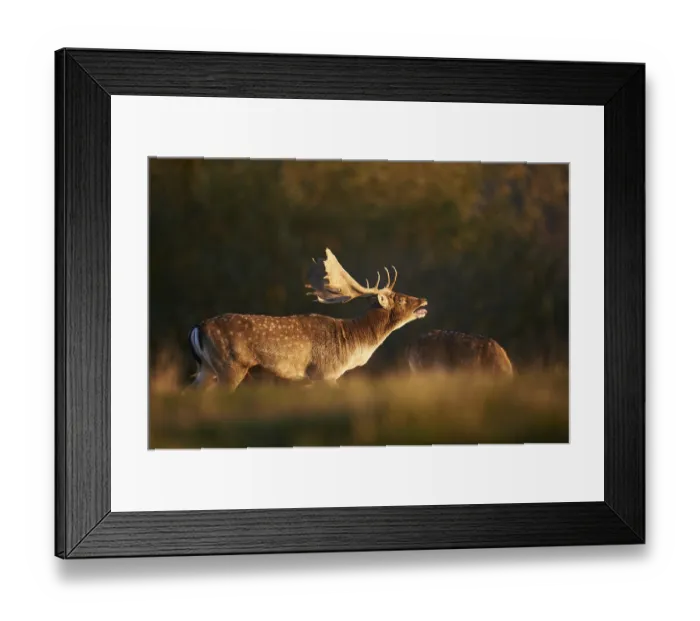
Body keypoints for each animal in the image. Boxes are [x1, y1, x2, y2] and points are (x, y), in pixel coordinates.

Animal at [188, 248, 428, 391]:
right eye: (401, 299)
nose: (423, 300)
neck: (350, 344)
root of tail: (198, 328)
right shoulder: (324, 372)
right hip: (230, 367)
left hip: (207, 369)